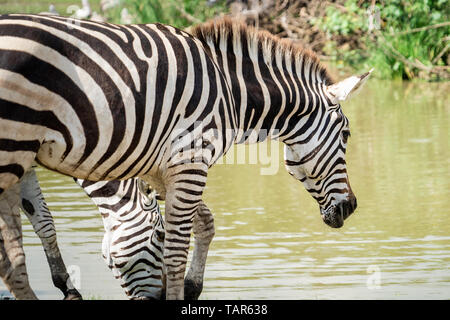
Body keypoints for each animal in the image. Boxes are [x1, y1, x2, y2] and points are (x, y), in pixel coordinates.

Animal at [0, 14, 370, 300]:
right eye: (347, 135)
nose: (352, 207)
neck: (229, 92)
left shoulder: (159, 166)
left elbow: (204, 222)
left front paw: (192, 287)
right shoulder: (190, 162)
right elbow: (176, 253)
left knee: (13, 258)